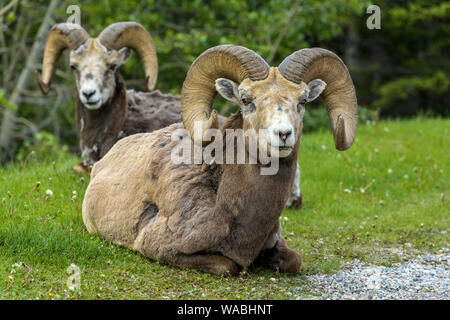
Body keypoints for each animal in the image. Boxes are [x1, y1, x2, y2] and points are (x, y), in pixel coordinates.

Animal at [82, 45, 358, 276]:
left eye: (302, 101)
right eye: (246, 100)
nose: (283, 134)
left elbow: (294, 261)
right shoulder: (160, 247)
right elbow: (229, 266)